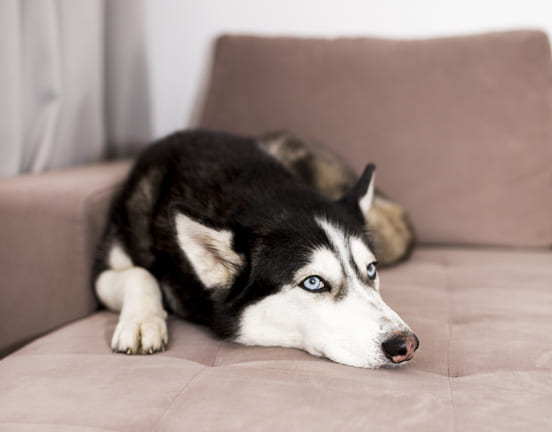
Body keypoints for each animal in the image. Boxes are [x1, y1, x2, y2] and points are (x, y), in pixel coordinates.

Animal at [94, 129, 418, 368]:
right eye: (313, 283)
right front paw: (142, 322)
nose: (405, 344)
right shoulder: (104, 272)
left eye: (371, 269)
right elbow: (139, 273)